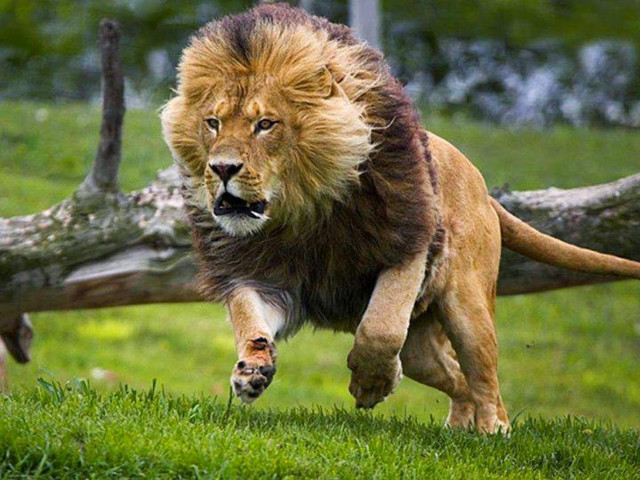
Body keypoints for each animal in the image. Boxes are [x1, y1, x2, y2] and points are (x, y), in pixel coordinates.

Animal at [161, 3, 640, 433]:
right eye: (212, 122)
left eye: (266, 124)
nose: (222, 168)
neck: (302, 212)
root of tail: (482, 186)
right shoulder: (262, 276)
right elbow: (249, 320)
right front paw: (252, 370)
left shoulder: (408, 245)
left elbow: (381, 328)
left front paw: (373, 384)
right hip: (423, 348)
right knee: (454, 375)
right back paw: (458, 425)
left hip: (468, 307)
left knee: (484, 376)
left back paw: (492, 430)